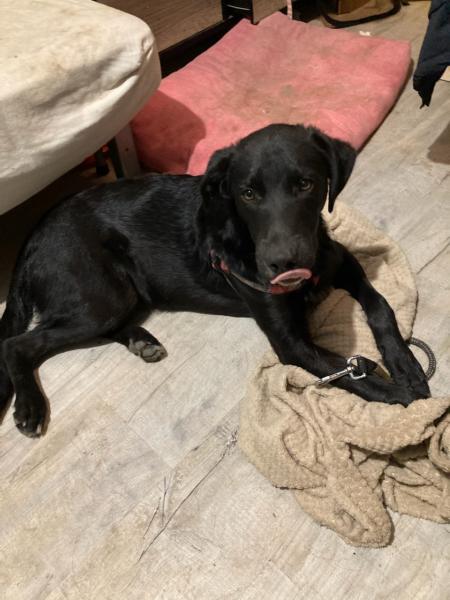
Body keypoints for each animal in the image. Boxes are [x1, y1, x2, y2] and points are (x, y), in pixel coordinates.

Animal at [0, 124, 430, 437]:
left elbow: (381, 307)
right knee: (17, 344)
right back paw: (30, 407)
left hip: (116, 298)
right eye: (248, 193)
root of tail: (35, 232)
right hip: (101, 295)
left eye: (306, 184)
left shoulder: (342, 262)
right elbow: (354, 375)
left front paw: (405, 364)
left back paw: (142, 341)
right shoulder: (291, 344)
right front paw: (405, 399)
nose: (283, 264)